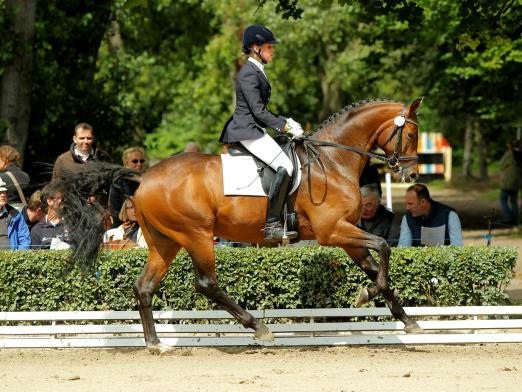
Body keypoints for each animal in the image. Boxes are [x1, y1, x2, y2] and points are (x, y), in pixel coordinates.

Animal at [62, 97, 422, 352]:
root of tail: (144, 176)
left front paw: (407, 321)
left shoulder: (345, 233)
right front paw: (367, 295)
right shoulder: (332, 230)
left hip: (165, 242)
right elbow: (384, 247)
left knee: (144, 286)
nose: (411, 174)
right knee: (206, 284)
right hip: (196, 235)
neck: (332, 162)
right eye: (412, 133)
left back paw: (155, 344)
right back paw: (259, 328)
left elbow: (376, 267)